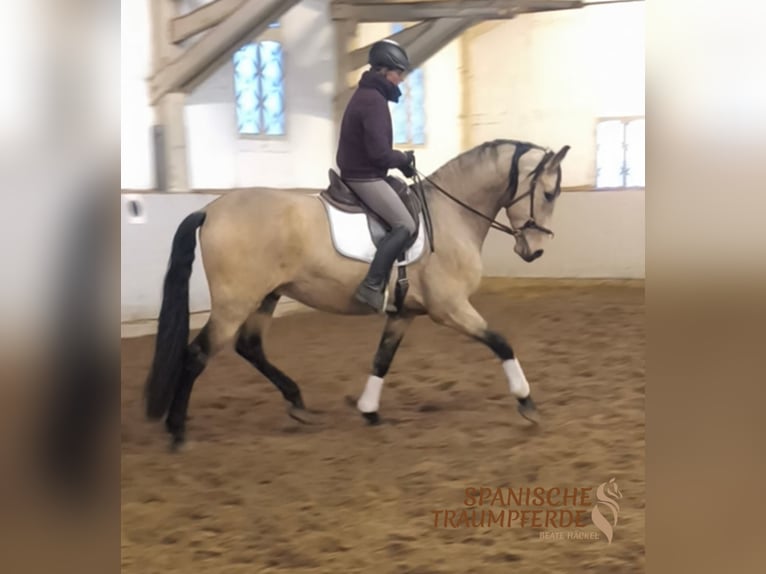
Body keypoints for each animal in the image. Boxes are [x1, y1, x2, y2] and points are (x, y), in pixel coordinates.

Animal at [143, 139, 570, 449]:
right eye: (549, 193)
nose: (535, 251)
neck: (450, 215)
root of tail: (211, 209)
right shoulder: (449, 308)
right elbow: (501, 342)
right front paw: (526, 401)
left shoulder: (404, 313)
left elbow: (382, 359)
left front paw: (369, 411)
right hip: (235, 303)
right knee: (197, 355)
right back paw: (178, 431)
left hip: (266, 296)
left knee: (249, 347)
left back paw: (297, 403)